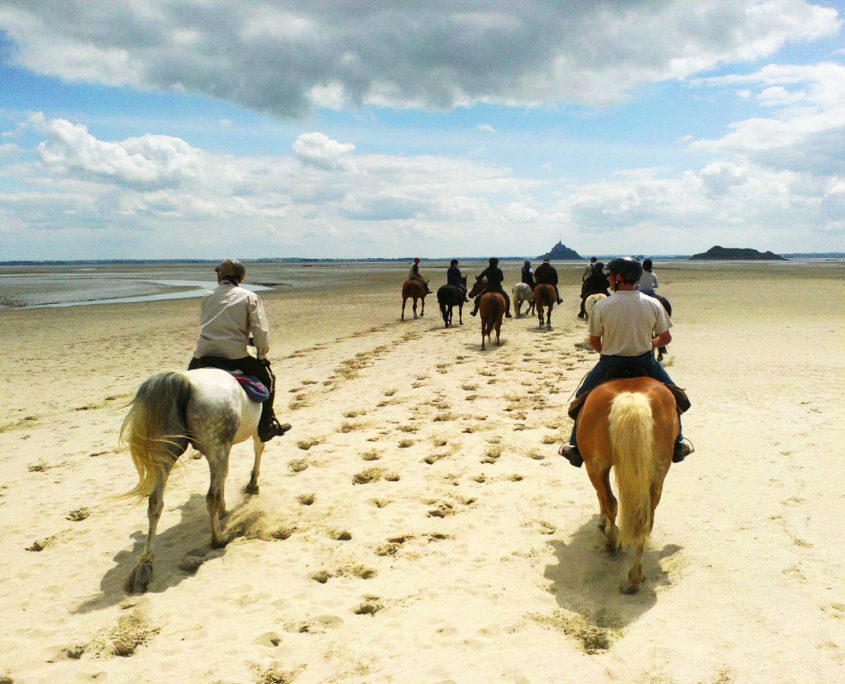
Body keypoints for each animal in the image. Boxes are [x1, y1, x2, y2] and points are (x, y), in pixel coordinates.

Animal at [572, 374, 680, 592]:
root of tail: (631, 397)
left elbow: (602, 498)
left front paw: (602, 523)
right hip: (658, 472)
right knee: (646, 519)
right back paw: (634, 576)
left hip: (595, 466)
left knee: (610, 502)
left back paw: (612, 542)